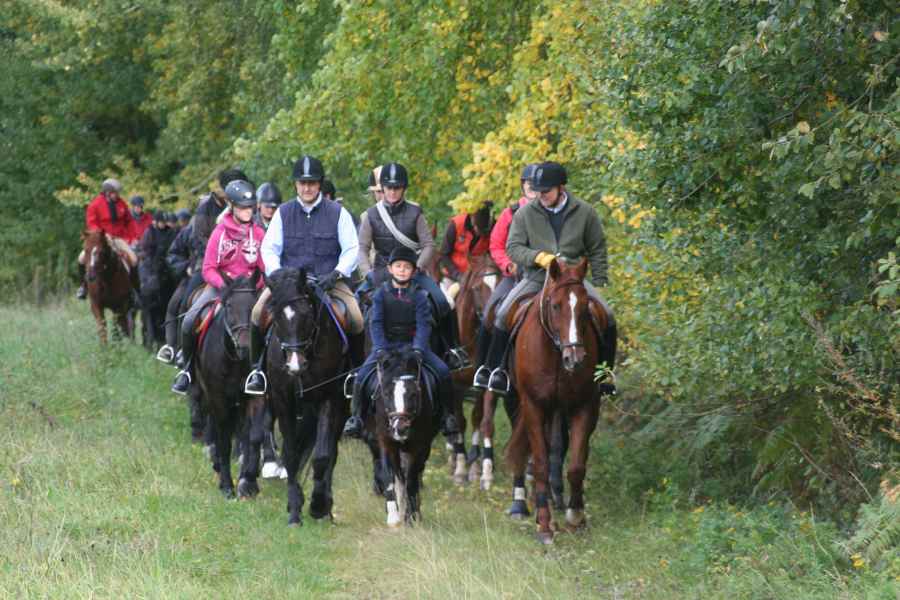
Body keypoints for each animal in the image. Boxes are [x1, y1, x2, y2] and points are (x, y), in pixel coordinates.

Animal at [191, 271, 263, 499]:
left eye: (254, 303)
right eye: (230, 305)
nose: (245, 347)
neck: (234, 361)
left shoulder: (253, 396)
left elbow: (251, 436)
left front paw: (247, 483)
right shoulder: (219, 397)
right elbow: (223, 440)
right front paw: (226, 485)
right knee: (214, 424)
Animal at [265, 268, 349, 525]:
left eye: (307, 315)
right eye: (276, 316)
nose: (295, 365)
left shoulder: (330, 398)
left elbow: (322, 456)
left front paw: (318, 506)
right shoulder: (283, 401)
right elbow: (291, 455)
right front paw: (294, 510)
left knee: (331, 452)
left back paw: (327, 508)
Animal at [371, 347, 438, 526]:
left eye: (413, 394)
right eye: (387, 394)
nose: (400, 428)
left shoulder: (418, 447)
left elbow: (411, 481)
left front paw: (411, 517)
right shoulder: (386, 443)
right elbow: (389, 478)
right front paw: (394, 517)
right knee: (399, 478)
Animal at [505, 258, 616, 544]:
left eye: (585, 307)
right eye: (555, 306)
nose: (574, 358)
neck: (555, 353)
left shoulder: (584, 406)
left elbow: (576, 464)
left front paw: (575, 516)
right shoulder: (533, 407)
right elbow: (540, 464)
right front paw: (544, 525)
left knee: (556, 448)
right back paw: (524, 505)